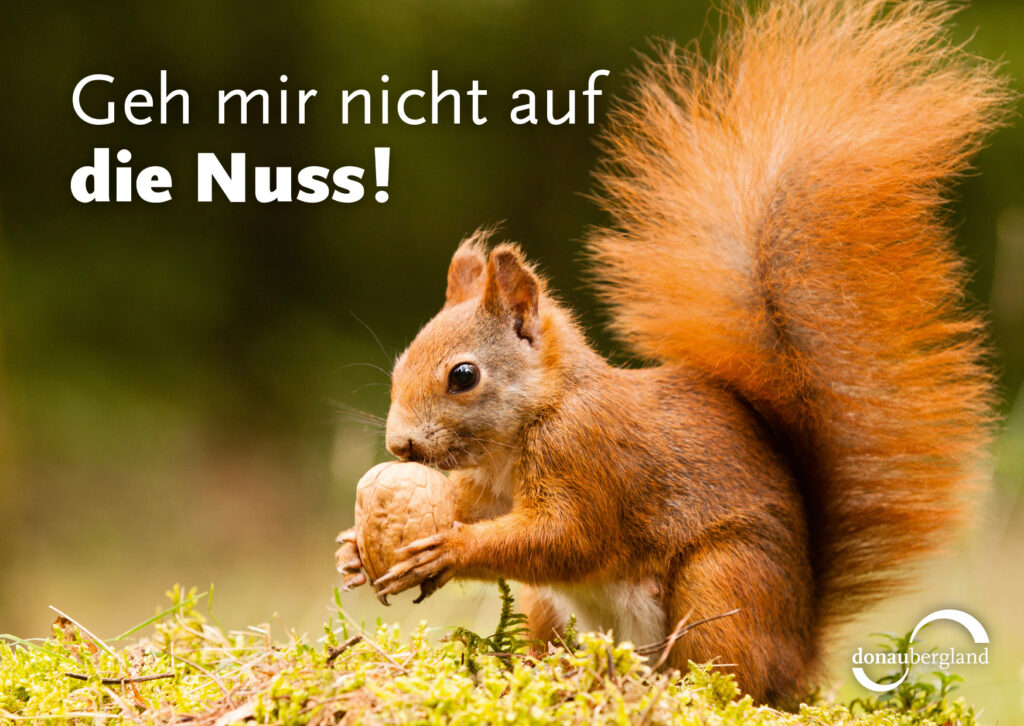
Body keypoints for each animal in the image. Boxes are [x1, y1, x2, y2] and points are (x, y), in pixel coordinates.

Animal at [335, 0, 1011, 705]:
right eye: (400, 365)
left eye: (463, 376)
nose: (400, 445)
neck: (529, 425)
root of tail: (801, 654)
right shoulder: (490, 488)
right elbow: (481, 511)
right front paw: (354, 549)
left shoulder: (590, 456)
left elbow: (567, 538)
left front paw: (448, 549)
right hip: (558, 608)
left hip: (723, 580)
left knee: (726, 672)